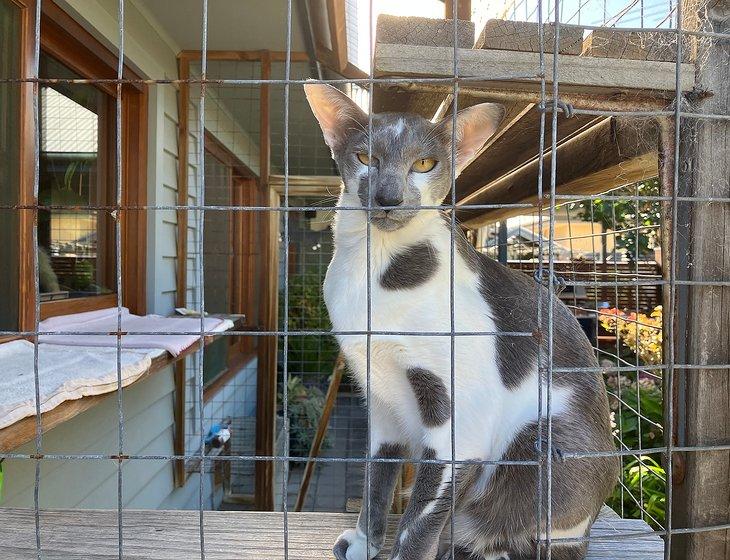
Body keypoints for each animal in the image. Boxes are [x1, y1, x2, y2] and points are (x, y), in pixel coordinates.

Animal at [304, 83, 616, 560]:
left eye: (424, 164)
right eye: (365, 157)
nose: (388, 197)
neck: (374, 269)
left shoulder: (461, 427)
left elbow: (418, 522)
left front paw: (400, 550)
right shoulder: (378, 396)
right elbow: (378, 473)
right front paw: (363, 542)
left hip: (545, 443)